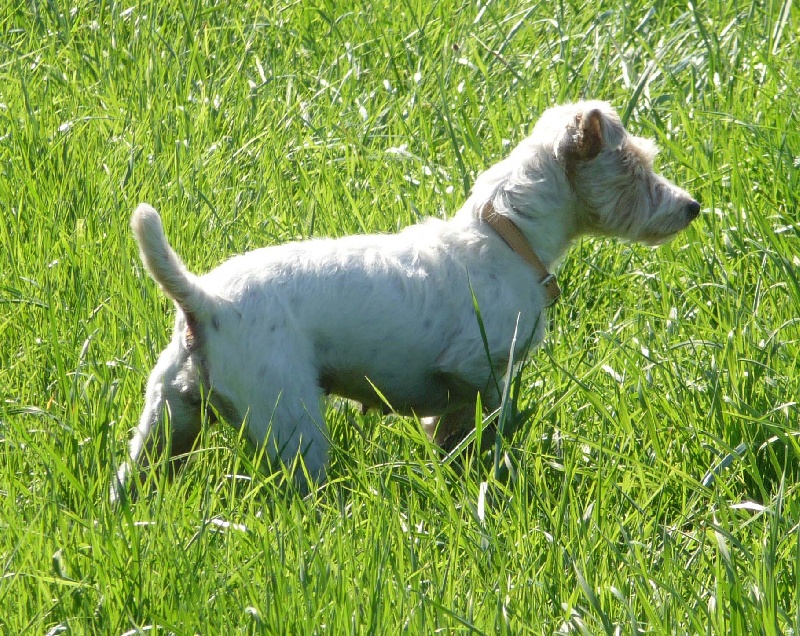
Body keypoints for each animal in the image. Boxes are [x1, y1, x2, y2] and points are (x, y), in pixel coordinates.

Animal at [114, 102, 700, 494]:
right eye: (635, 168)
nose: (693, 207)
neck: (507, 232)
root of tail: (205, 303)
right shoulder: (478, 369)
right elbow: (487, 419)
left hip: (166, 422)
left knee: (131, 476)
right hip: (292, 427)